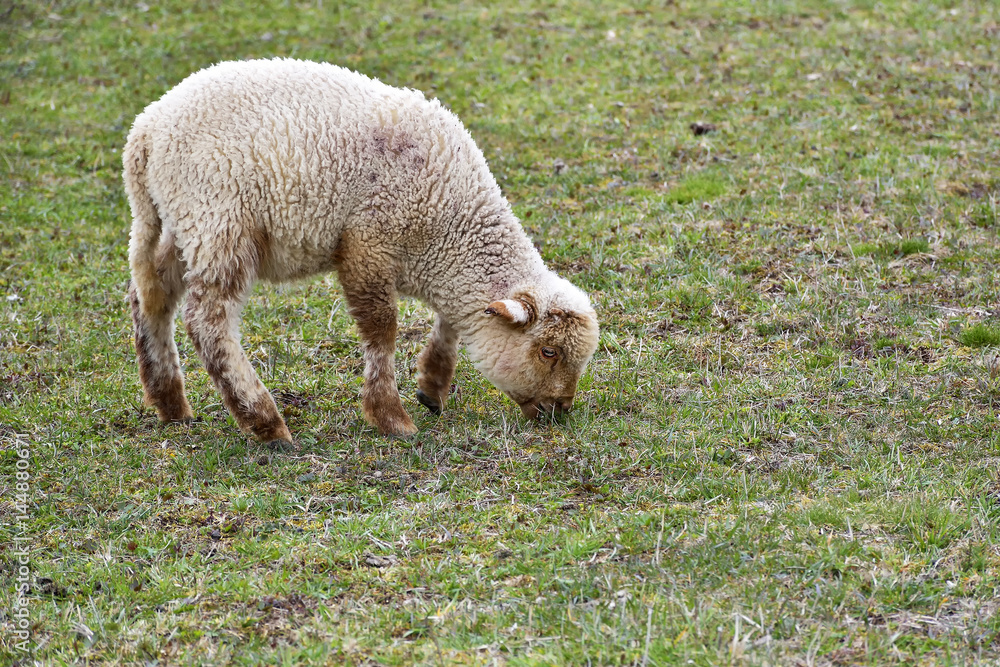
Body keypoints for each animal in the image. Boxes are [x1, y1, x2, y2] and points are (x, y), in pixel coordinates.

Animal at [123, 58, 599, 444]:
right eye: (549, 352)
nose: (559, 411)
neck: (449, 231)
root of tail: (145, 133)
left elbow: (449, 322)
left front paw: (432, 386)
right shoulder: (368, 243)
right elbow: (381, 329)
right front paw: (391, 417)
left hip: (172, 224)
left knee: (151, 297)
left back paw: (171, 405)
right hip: (219, 221)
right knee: (208, 321)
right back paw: (265, 423)